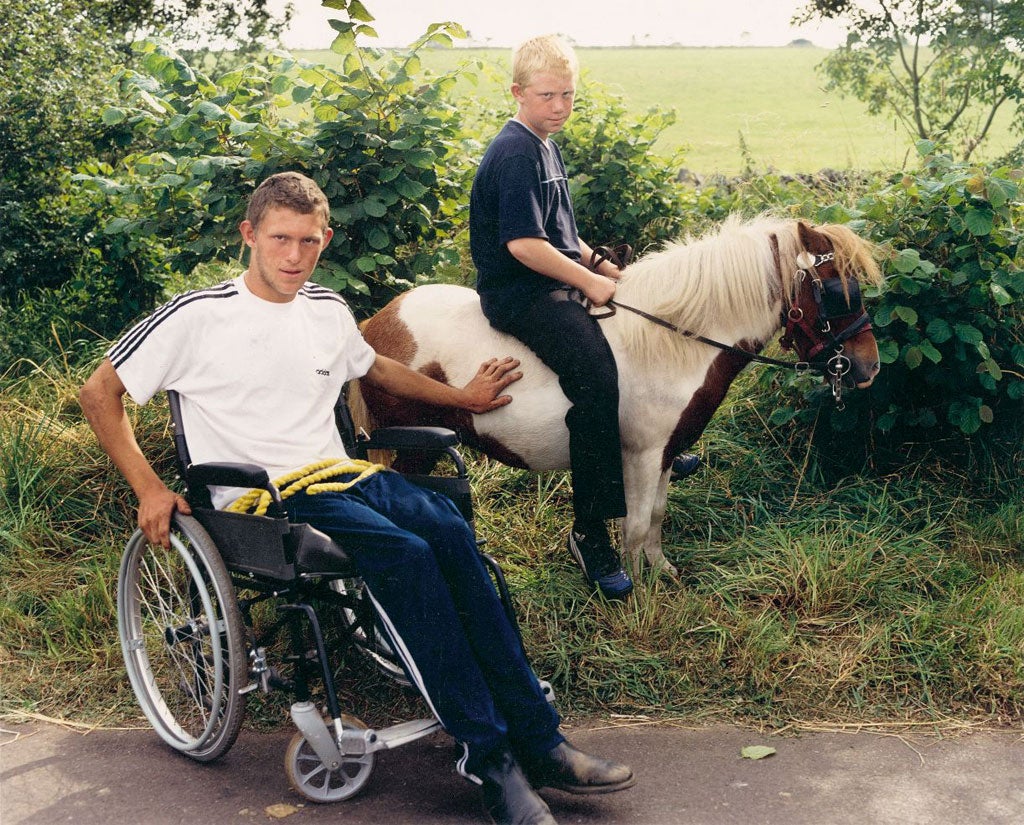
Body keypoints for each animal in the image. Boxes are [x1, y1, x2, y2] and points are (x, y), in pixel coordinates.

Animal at [351, 215, 884, 577]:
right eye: (835, 291)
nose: (869, 367)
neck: (675, 341)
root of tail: (372, 329)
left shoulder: (666, 453)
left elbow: (656, 517)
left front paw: (661, 571)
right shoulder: (642, 456)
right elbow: (634, 524)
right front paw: (638, 593)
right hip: (413, 452)